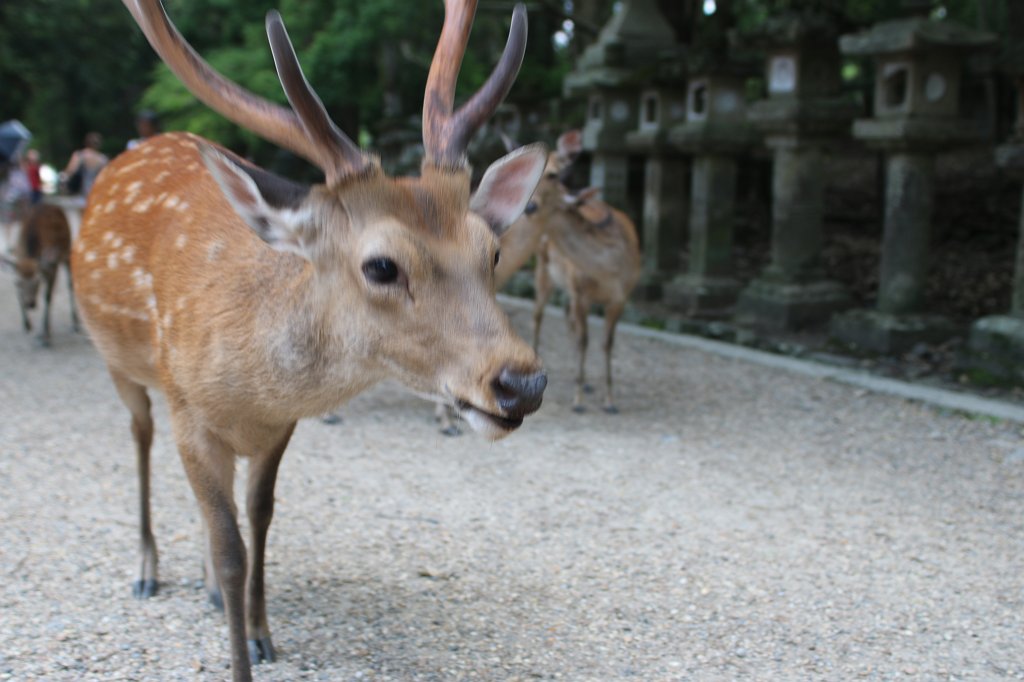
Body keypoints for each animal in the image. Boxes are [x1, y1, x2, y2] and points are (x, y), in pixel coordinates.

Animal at [0, 199, 77, 342]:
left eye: (37, 281)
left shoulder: (51, 268)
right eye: (18, 282)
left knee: (70, 284)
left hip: (67, 250)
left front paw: (45, 335)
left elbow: (48, 297)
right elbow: (18, 295)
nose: (30, 304)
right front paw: (27, 325)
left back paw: (75, 323)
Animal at [70, 2, 552, 675]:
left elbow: (260, 517)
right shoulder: (189, 411)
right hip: (118, 362)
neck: (249, 388)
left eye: (493, 251)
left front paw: (260, 632)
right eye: (381, 265)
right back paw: (147, 569)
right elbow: (232, 548)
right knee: (140, 438)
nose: (521, 382)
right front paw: (239, 653)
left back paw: (209, 591)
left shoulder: (280, 428)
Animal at [493, 130, 638, 411]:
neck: (609, 272)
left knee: (567, 318)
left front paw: (609, 400)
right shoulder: (581, 291)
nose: (528, 206)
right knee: (539, 315)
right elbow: (585, 340)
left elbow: (606, 343)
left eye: (553, 175)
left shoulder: (621, 298)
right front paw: (578, 400)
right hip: (543, 272)